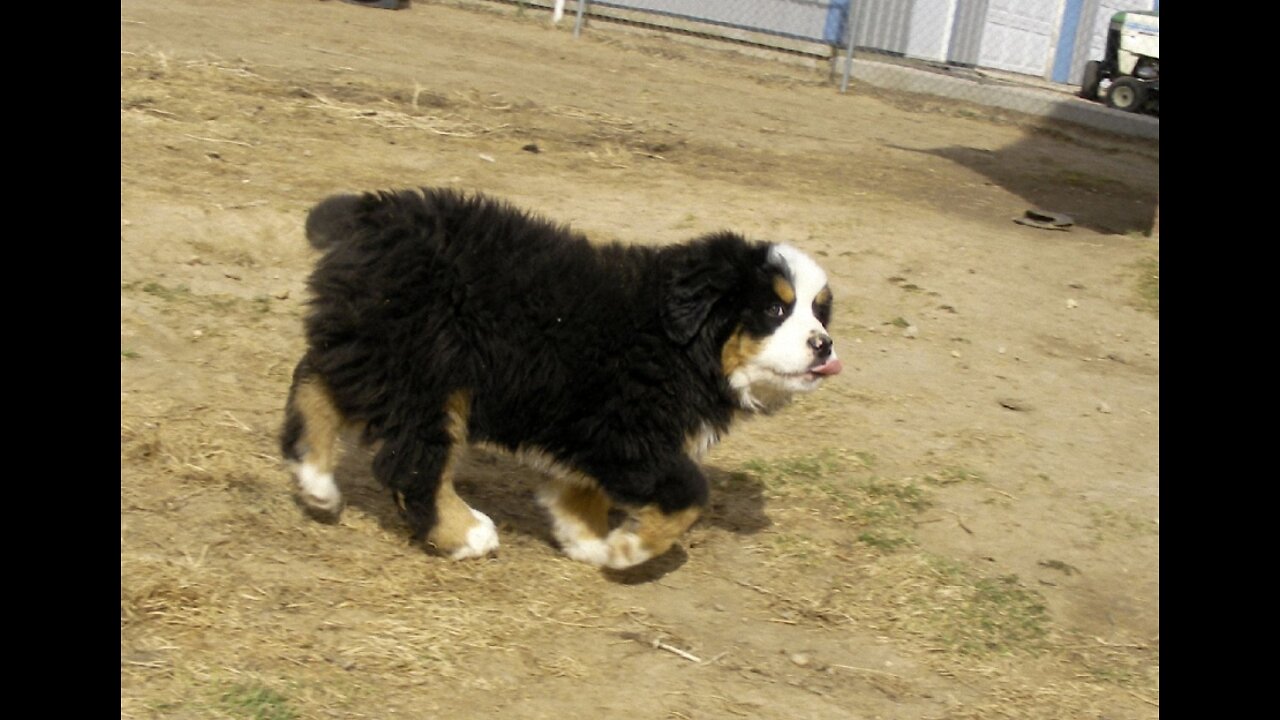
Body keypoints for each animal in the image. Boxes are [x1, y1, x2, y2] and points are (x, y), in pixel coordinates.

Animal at [281, 188, 839, 568]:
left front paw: (587, 540)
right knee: (412, 462)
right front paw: (630, 547)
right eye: (775, 308)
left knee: (313, 381)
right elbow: (690, 493)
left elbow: (581, 488)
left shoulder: (589, 430)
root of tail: (374, 214)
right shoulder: (627, 432)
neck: (678, 342)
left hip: (370, 345)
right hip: (431, 370)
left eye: (820, 312)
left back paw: (315, 479)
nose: (825, 345)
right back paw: (463, 533)